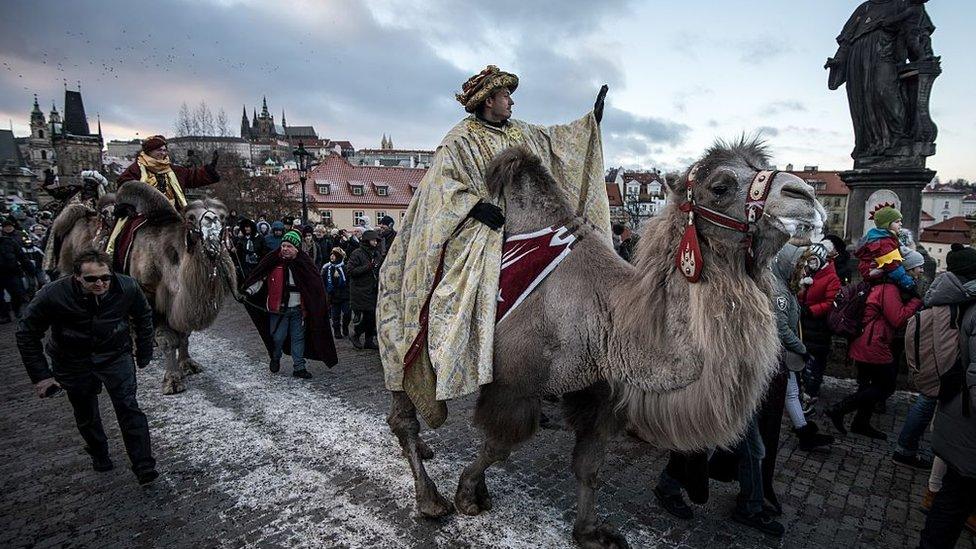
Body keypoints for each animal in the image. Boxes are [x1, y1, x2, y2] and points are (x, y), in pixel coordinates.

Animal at [54, 183, 235, 394]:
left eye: (223, 216)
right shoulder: (150, 298)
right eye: (190, 217)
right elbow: (168, 340)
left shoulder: (177, 303)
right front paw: (172, 380)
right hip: (70, 270)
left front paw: (188, 364)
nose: (211, 220)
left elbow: (184, 333)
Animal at [386, 141, 828, 548]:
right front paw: (467, 495)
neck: (609, 316)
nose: (805, 195)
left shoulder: (599, 395)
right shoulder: (514, 383)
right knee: (404, 410)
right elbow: (498, 447)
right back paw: (430, 499)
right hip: (402, 332)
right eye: (719, 186)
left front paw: (590, 533)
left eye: (764, 167)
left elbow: (589, 466)